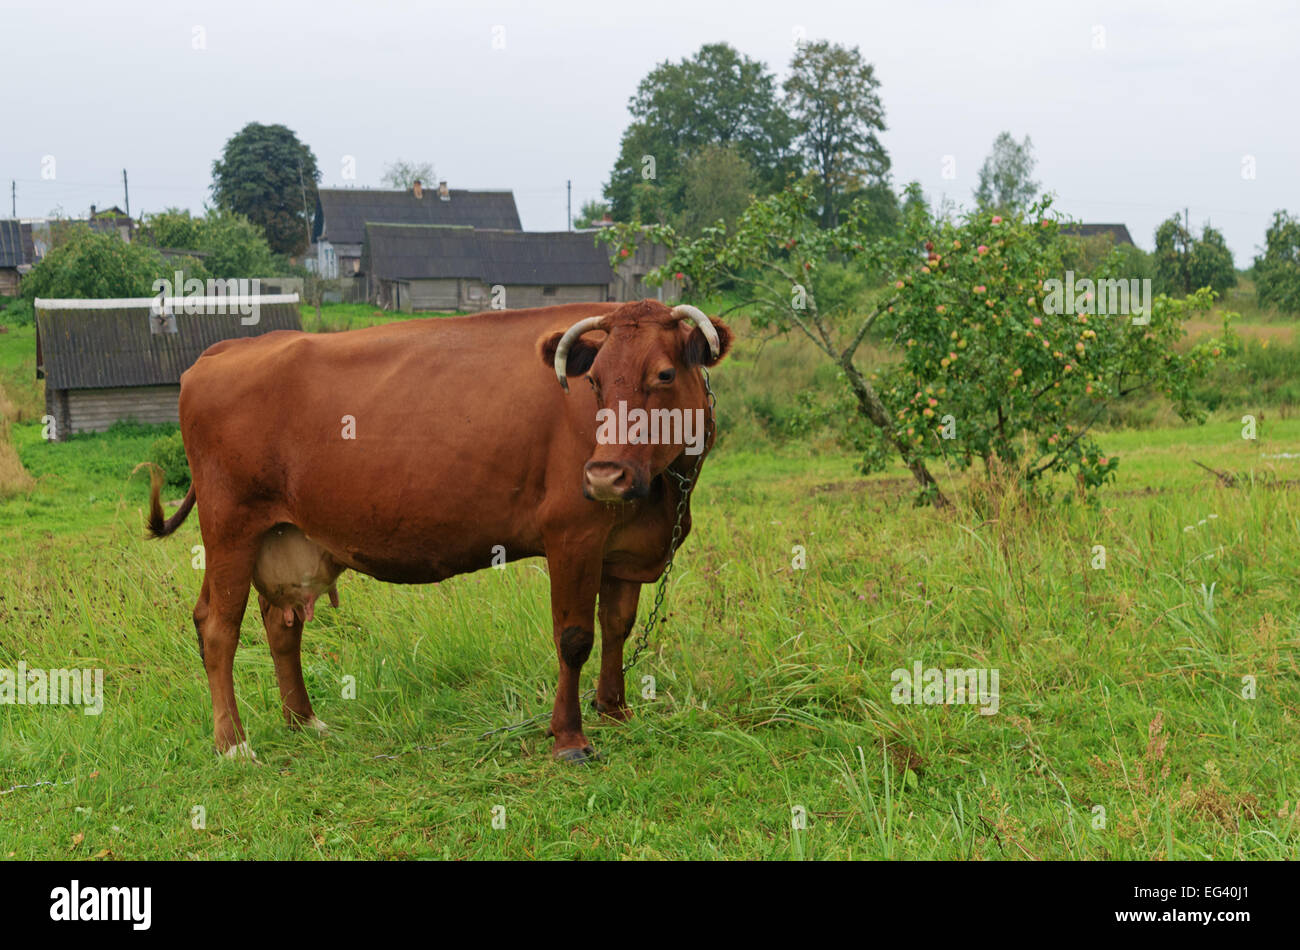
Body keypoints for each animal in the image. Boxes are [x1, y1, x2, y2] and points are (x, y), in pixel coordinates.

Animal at [144, 299, 732, 763]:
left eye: (663, 375)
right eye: (594, 382)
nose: (604, 476)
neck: (662, 496)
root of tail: (224, 350)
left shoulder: (623, 547)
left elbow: (617, 628)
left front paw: (614, 710)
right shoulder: (572, 534)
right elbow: (574, 638)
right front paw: (569, 738)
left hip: (281, 534)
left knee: (280, 625)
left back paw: (304, 722)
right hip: (230, 527)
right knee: (218, 627)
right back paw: (234, 744)